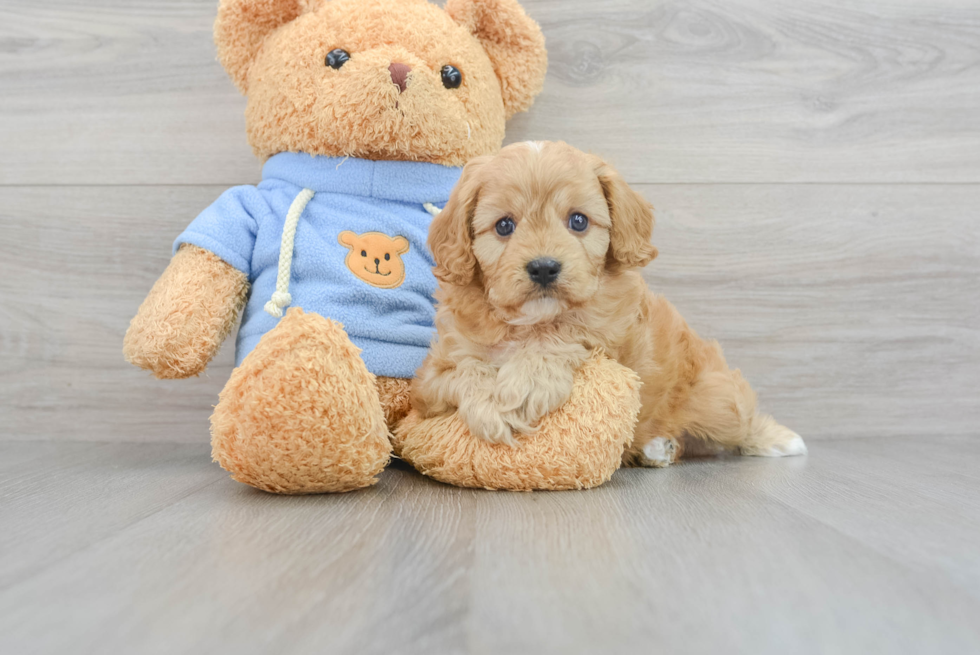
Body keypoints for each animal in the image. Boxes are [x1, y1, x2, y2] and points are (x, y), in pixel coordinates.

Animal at [414, 140, 804, 466]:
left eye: (578, 221)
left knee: (739, 417)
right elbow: (465, 369)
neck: (529, 321)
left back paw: (778, 439)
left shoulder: (614, 335)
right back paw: (659, 448)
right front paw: (490, 406)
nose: (544, 268)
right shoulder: (431, 379)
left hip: (714, 400)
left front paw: (525, 384)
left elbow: (567, 331)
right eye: (504, 226)